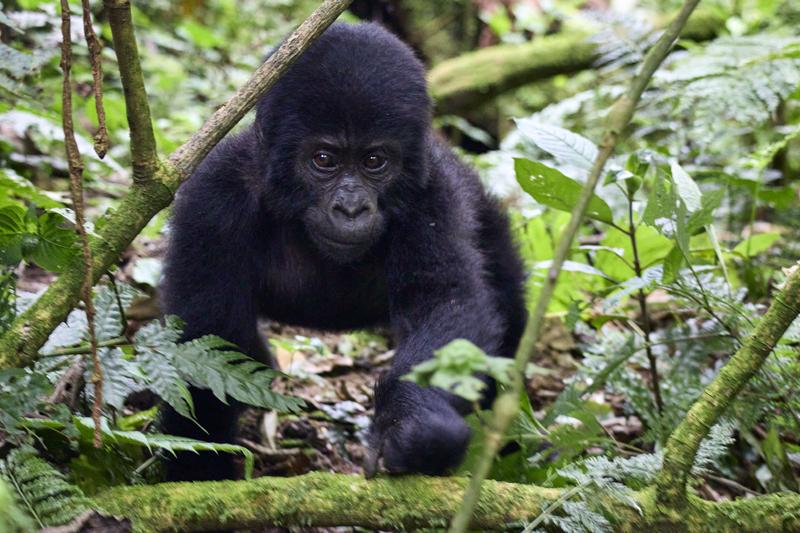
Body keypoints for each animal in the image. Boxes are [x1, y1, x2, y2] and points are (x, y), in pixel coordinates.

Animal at [160, 20, 528, 480]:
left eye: (374, 161)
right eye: (324, 159)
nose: (351, 208)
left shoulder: (433, 191)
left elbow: (446, 304)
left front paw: (413, 425)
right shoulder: (214, 192)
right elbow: (207, 338)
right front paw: (199, 469)